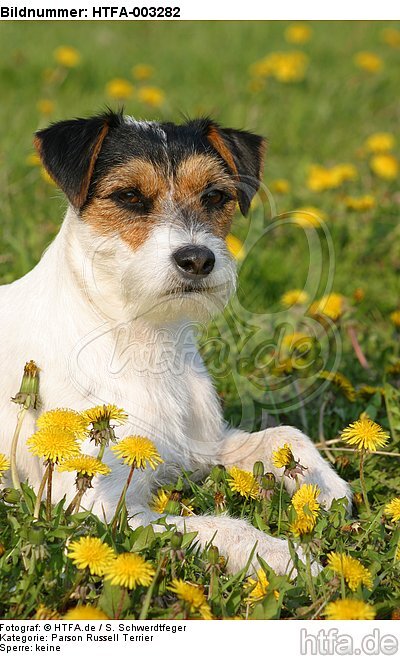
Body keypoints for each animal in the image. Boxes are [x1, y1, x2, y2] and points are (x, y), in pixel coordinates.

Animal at [0, 111, 350, 576]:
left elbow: (285, 435)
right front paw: (283, 556)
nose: (198, 259)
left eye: (215, 195)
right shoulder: (93, 507)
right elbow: (222, 526)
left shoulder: (202, 445)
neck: (142, 338)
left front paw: (327, 486)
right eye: (129, 196)